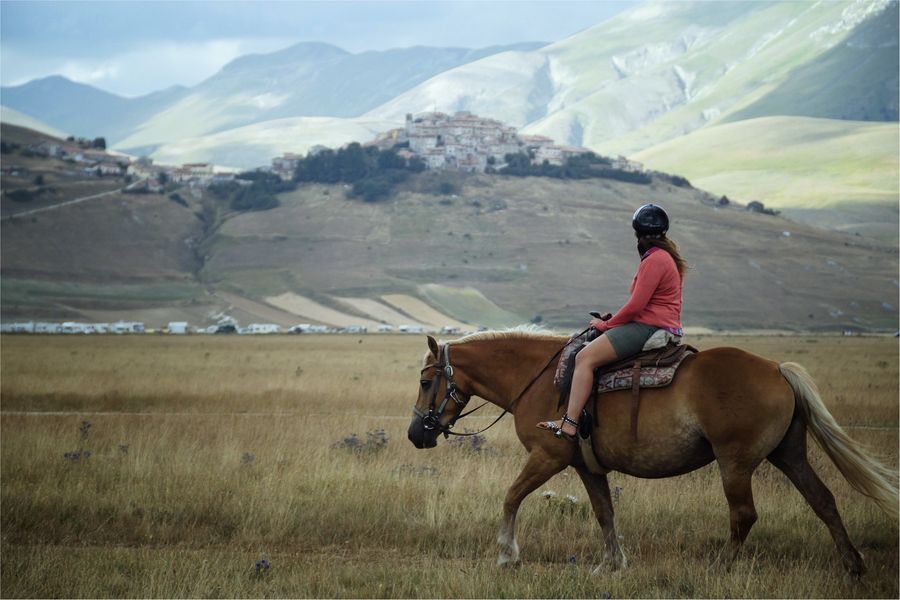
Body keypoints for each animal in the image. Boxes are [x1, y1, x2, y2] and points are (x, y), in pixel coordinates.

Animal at [410, 330, 900, 576]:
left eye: (425, 380)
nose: (417, 433)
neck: (541, 377)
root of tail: (778, 369)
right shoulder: (587, 468)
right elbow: (604, 513)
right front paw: (612, 563)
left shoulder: (548, 457)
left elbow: (511, 498)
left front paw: (507, 555)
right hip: (789, 454)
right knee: (824, 501)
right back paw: (853, 566)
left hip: (735, 464)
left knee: (744, 515)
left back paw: (720, 567)